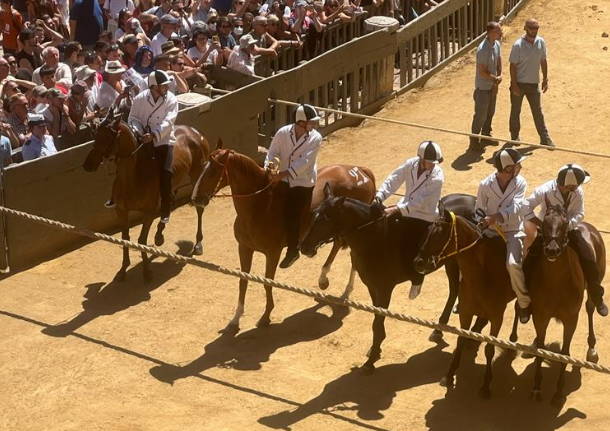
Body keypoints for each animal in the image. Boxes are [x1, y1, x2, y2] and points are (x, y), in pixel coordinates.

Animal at [82, 109, 209, 282]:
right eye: (95, 135)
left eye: (108, 137)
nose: (88, 164)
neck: (134, 176)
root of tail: (194, 132)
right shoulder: (121, 211)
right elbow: (125, 238)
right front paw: (123, 270)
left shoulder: (148, 212)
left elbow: (141, 240)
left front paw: (147, 272)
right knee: (169, 205)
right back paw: (159, 235)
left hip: (197, 176)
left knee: (199, 208)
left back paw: (198, 244)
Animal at [190, 148, 376, 334]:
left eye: (213, 171)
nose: (195, 199)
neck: (260, 205)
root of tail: (360, 171)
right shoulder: (244, 248)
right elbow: (243, 281)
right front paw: (235, 321)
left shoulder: (272, 253)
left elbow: (267, 283)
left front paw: (265, 317)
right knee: (337, 245)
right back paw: (324, 280)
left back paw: (345, 292)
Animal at [300, 189, 476, 374]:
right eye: (314, 214)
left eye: (326, 218)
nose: (304, 248)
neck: (374, 237)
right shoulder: (372, 286)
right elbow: (376, 318)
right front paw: (375, 349)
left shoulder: (385, 288)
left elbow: (378, 321)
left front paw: (371, 359)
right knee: (454, 290)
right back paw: (439, 329)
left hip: (455, 261)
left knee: (455, 289)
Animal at [410, 211, 516, 400]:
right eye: (428, 230)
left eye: (439, 233)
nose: (418, 262)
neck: (482, 275)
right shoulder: (466, 312)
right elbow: (460, 341)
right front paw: (449, 375)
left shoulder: (497, 317)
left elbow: (490, 349)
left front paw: (486, 385)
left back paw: (512, 340)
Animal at [524, 202, 604, 404]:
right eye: (544, 221)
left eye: (565, 222)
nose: (552, 250)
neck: (556, 282)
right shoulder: (540, 316)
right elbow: (541, 350)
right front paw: (536, 388)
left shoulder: (570, 319)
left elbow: (565, 353)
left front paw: (558, 392)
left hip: (593, 287)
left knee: (591, 307)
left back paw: (592, 349)